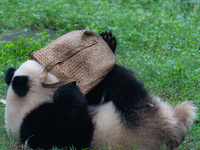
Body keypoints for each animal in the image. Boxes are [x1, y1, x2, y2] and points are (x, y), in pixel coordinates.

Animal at [4, 31, 197, 149]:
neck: (24, 104)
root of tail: (176, 125)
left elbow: (91, 100)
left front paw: (108, 41)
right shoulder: (39, 125)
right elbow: (75, 127)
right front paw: (66, 89)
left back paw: (109, 47)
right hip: (140, 122)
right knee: (126, 87)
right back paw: (117, 69)